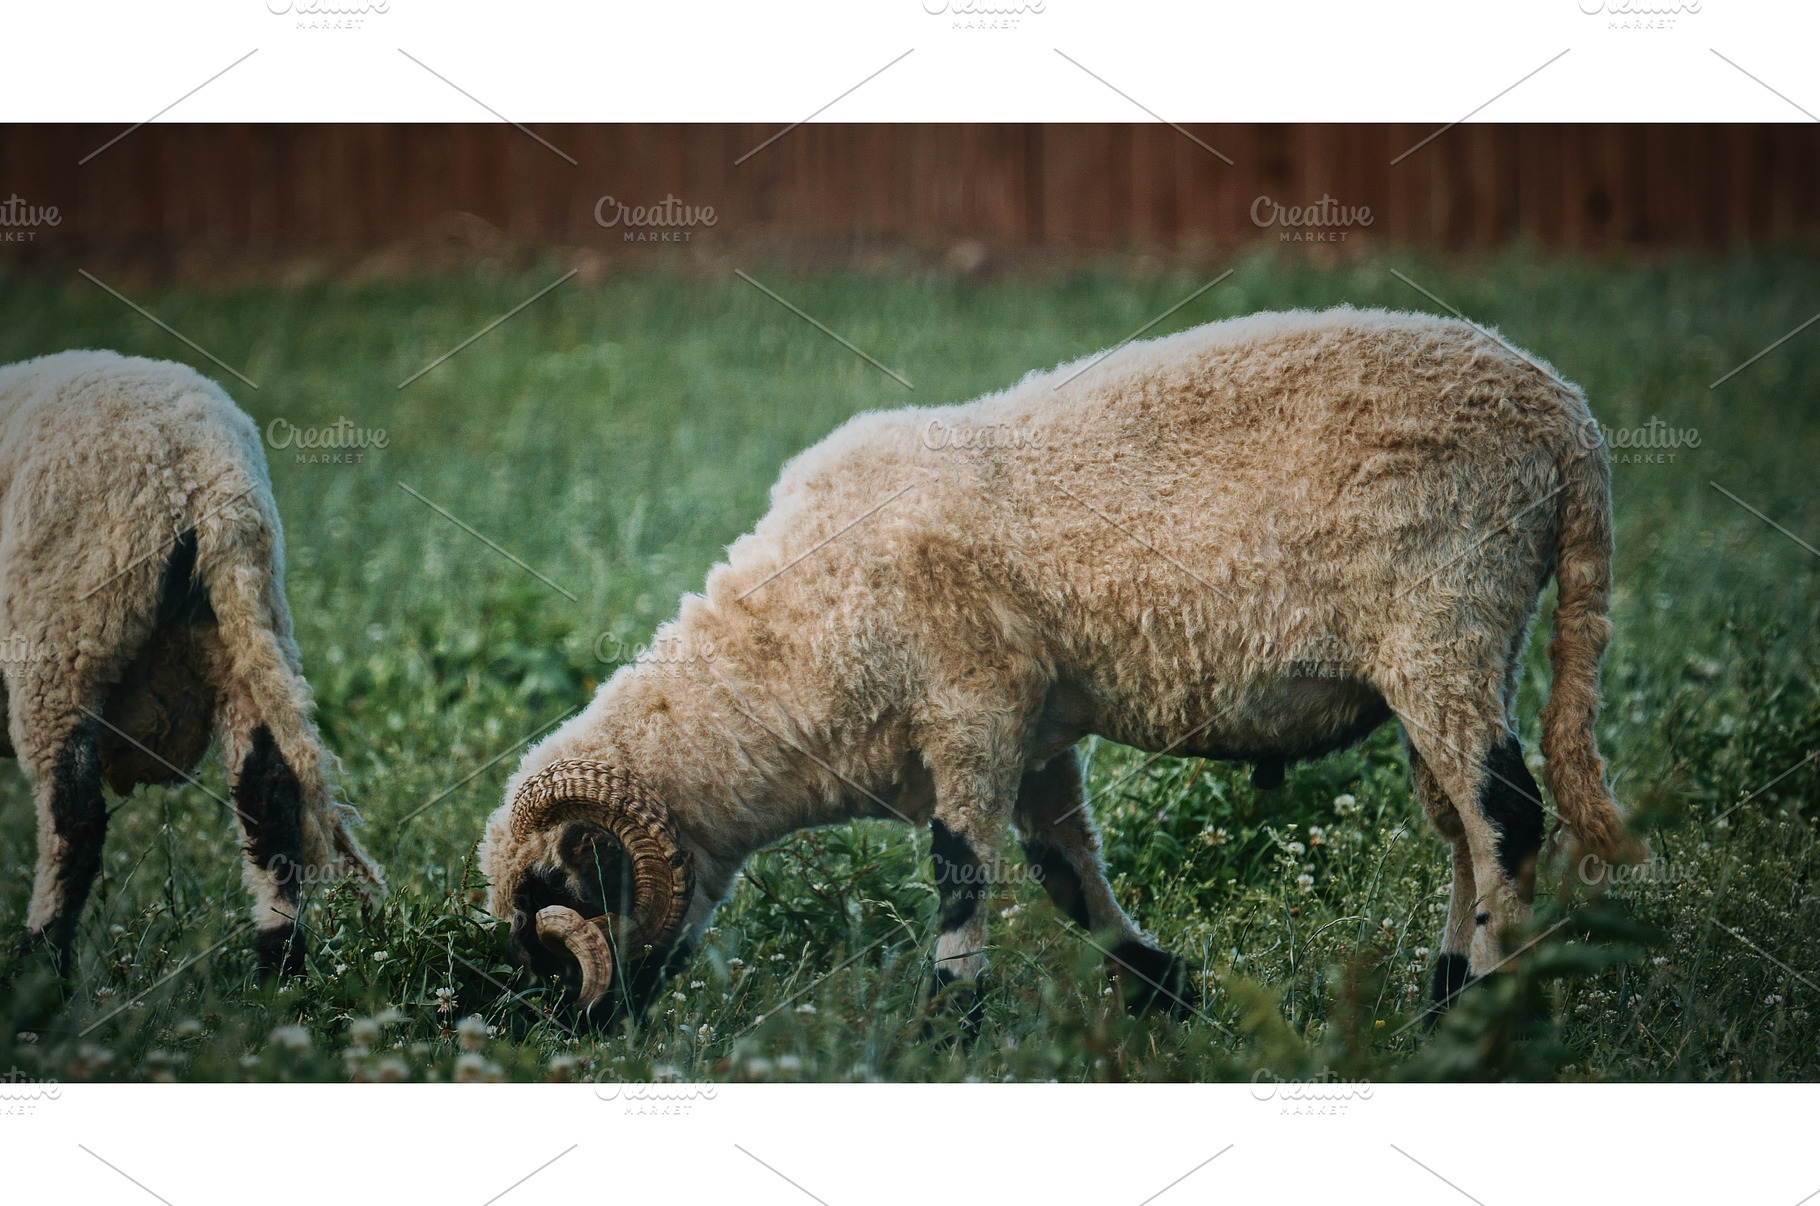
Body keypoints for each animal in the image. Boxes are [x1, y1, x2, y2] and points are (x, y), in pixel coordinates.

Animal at [0, 350, 383, 976]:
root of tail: (206, 469)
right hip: (242, 625)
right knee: (268, 795)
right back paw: (279, 969)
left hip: (62, 637)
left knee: (73, 823)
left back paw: (37, 966)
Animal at [479, 305, 1634, 1026]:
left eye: (562, 892)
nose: (576, 1039)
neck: (793, 647)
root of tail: (1565, 417)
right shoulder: (1034, 733)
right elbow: (1066, 875)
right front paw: (1171, 991)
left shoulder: (971, 709)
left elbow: (961, 874)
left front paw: (944, 1032)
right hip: (1446, 653)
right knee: (1462, 828)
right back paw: (1442, 993)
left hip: (1447, 619)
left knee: (1507, 816)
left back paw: (1483, 1014)